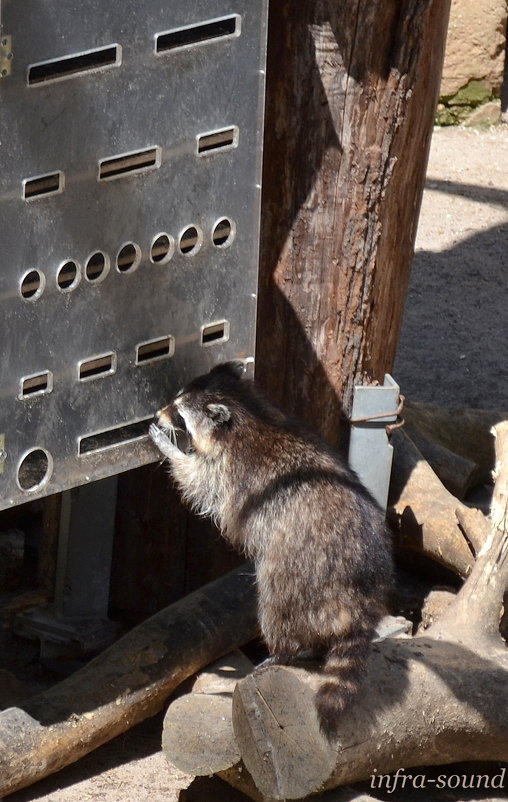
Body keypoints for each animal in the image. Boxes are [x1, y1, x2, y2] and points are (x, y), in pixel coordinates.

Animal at [149, 360, 390, 732]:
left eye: (178, 413)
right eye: (174, 401)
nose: (159, 414)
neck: (248, 411)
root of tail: (355, 590)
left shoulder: (228, 470)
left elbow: (197, 482)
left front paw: (170, 449)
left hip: (297, 573)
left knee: (275, 606)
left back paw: (283, 649)